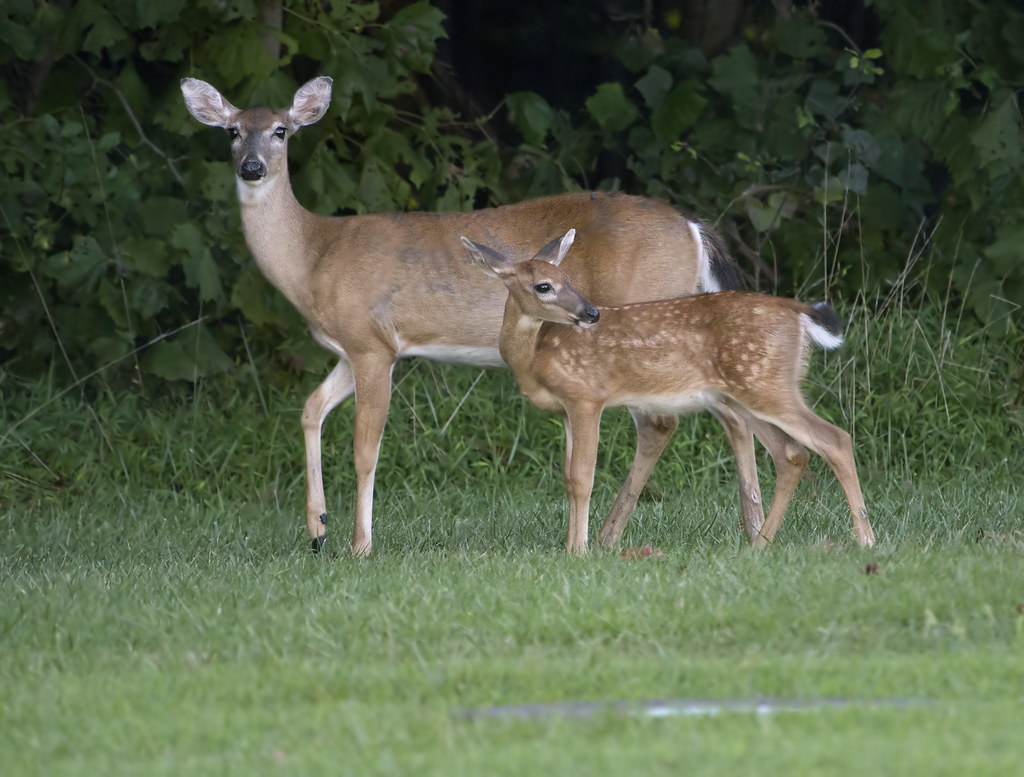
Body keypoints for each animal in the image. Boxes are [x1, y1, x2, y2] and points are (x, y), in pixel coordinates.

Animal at [180, 75, 806, 556]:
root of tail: (694, 229)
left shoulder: (373, 344)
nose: (252, 166)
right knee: (725, 415)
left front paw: (360, 546)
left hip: (645, 319)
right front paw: (317, 529)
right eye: (232, 131)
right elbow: (310, 410)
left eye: (281, 130)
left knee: (673, 421)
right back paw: (737, 532)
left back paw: (640, 535)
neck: (313, 256)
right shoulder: (352, 350)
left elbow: (364, 447)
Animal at [462, 231, 872, 552]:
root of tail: (799, 313)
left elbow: (582, 477)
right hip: (746, 390)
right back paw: (760, 544)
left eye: (569, 278)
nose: (591, 313)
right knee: (792, 453)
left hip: (765, 383)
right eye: (543, 285)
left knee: (835, 438)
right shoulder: (564, 410)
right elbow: (566, 477)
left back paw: (864, 539)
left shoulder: (587, 396)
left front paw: (578, 551)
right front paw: (568, 546)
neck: (534, 356)